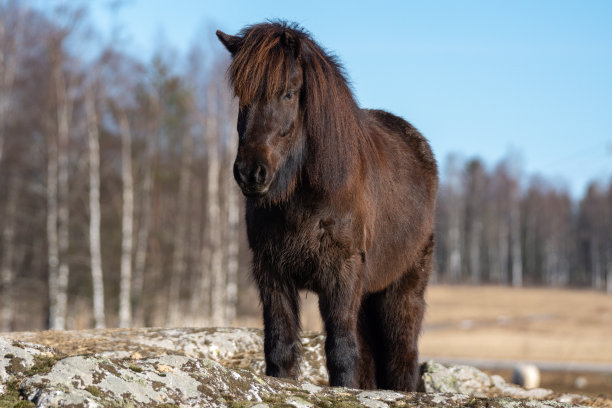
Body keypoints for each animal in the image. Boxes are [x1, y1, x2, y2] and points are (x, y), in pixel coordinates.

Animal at [218, 22, 438, 392]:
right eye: (240, 95)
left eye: (289, 93)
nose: (251, 172)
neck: (307, 197)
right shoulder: (272, 273)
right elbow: (279, 346)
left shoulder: (341, 273)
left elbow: (340, 352)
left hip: (403, 289)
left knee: (402, 358)